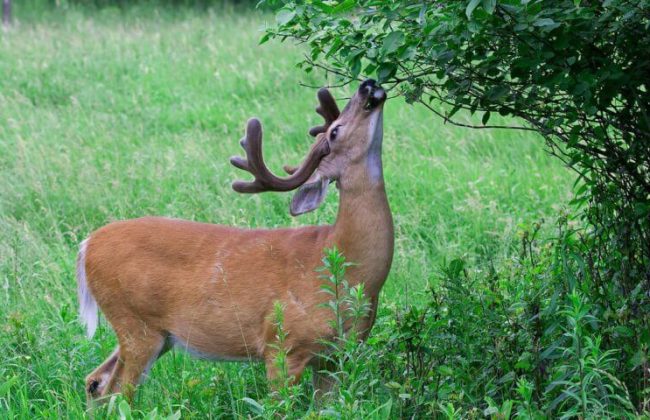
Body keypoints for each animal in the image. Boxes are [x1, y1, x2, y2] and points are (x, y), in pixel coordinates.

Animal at [79, 79, 394, 404]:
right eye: (335, 131)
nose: (367, 84)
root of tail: (87, 245)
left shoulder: (337, 356)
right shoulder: (282, 345)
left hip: (158, 335)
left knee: (95, 380)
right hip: (135, 323)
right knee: (116, 392)